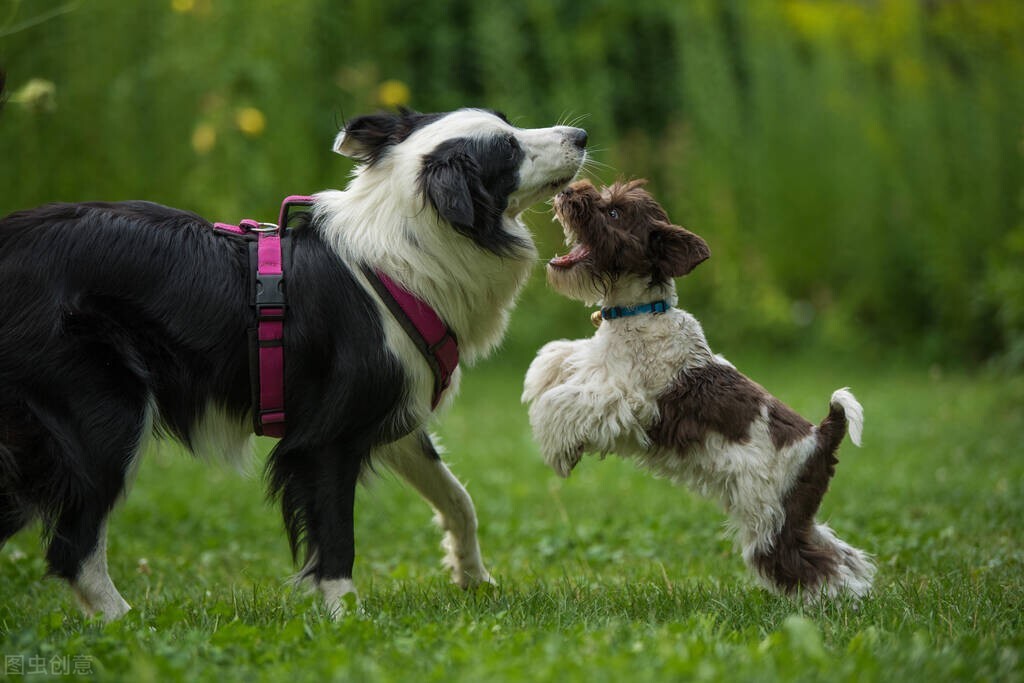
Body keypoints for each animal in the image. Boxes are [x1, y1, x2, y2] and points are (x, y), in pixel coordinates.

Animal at [0, 108, 589, 618]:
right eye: (508, 149)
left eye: (509, 123)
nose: (581, 135)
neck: (404, 255)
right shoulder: (325, 438)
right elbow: (336, 535)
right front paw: (347, 617)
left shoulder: (392, 409)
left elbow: (459, 498)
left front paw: (472, 577)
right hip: (105, 413)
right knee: (73, 547)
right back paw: (127, 623)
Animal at [524, 180, 876, 598]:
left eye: (614, 212)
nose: (569, 191)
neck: (640, 312)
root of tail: (823, 434)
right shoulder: (600, 364)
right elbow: (563, 355)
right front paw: (540, 376)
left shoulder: (632, 401)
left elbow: (565, 401)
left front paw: (557, 447)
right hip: (796, 513)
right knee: (841, 553)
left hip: (770, 520)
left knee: (816, 565)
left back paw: (837, 603)